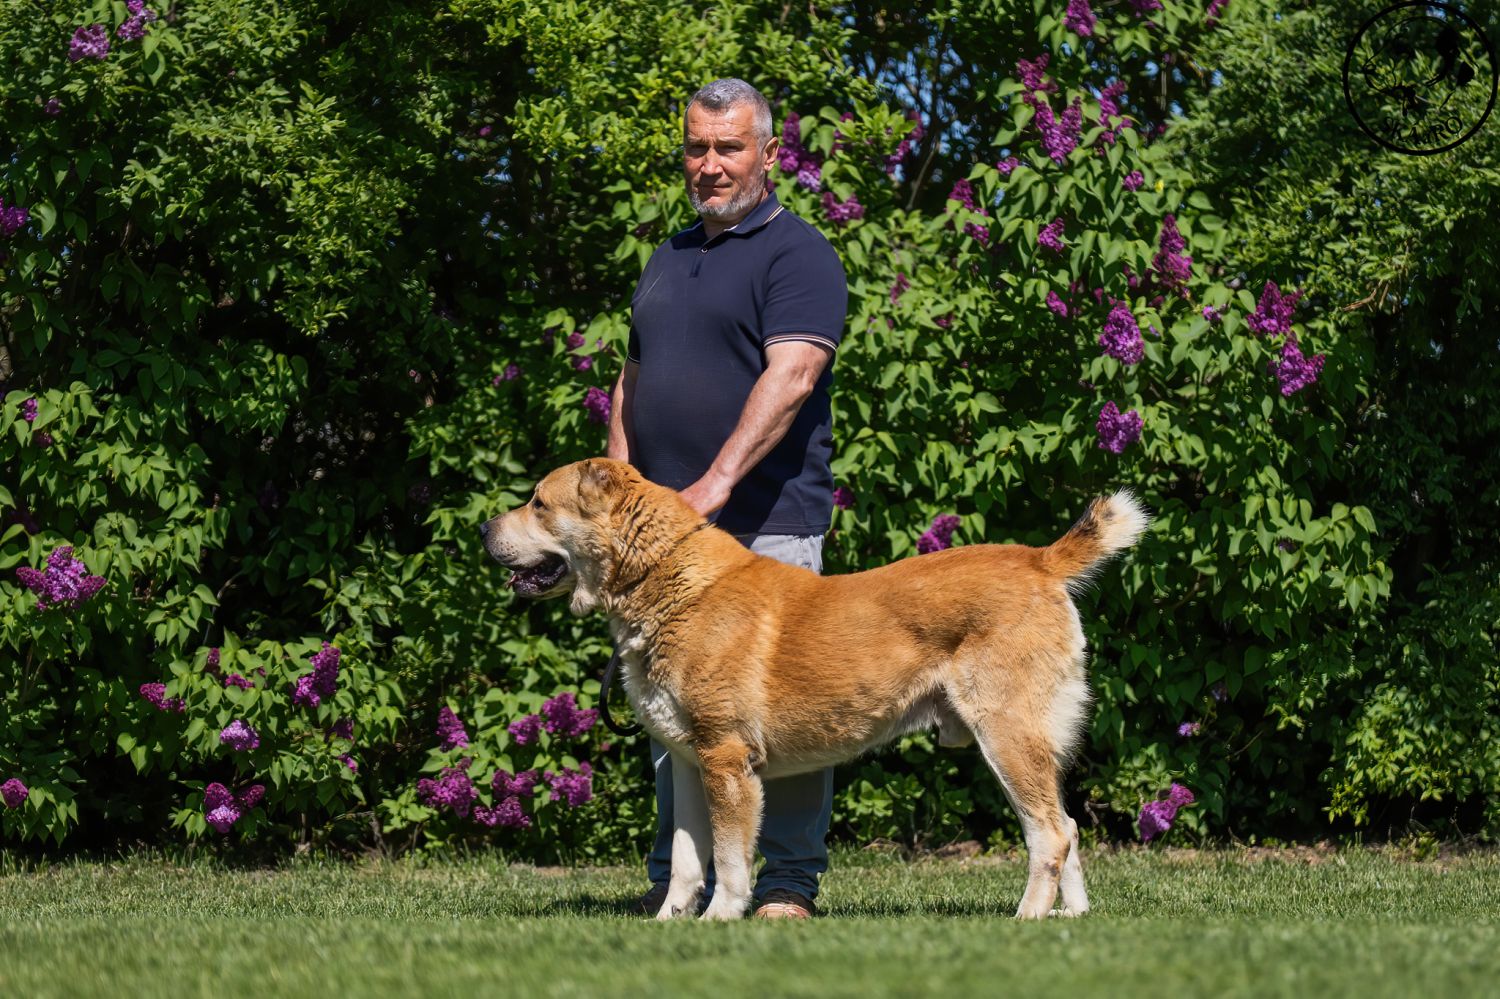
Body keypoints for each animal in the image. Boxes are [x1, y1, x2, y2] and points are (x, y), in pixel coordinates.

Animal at [482, 458, 1148, 920]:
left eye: (538, 503)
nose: (485, 527)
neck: (665, 581)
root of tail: (1040, 560)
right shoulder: (689, 762)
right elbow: (686, 861)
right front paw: (670, 922)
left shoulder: (728, 761)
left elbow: (730, 859)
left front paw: (721, 919)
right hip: (1032, 743)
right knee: (1068, 824)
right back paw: (1071, 917)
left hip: (1006, 735)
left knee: (1050, 832)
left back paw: (1026, 917)